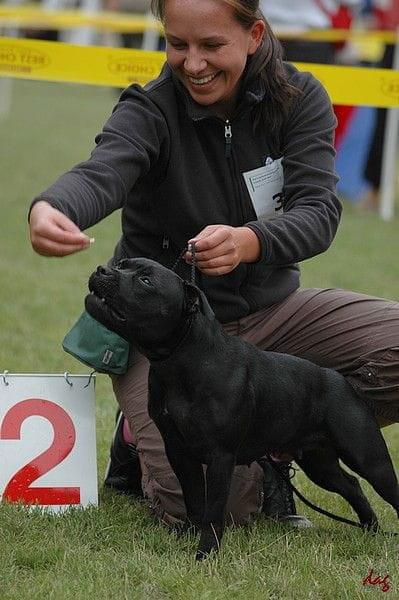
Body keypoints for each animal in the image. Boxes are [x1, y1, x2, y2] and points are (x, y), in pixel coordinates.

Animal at [86, 258, 399, 556]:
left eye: (146, 281)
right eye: (122, 264)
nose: (102, 269)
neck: (182, 359)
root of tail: (339, 380)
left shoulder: (220, 457)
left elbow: (213, 511)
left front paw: (206, 553)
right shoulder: (179, 452)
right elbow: (193, 499)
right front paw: (189, 535)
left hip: (369, 458)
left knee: (385, 488)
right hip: (319, 462)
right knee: (351, 484)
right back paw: (370, 528)